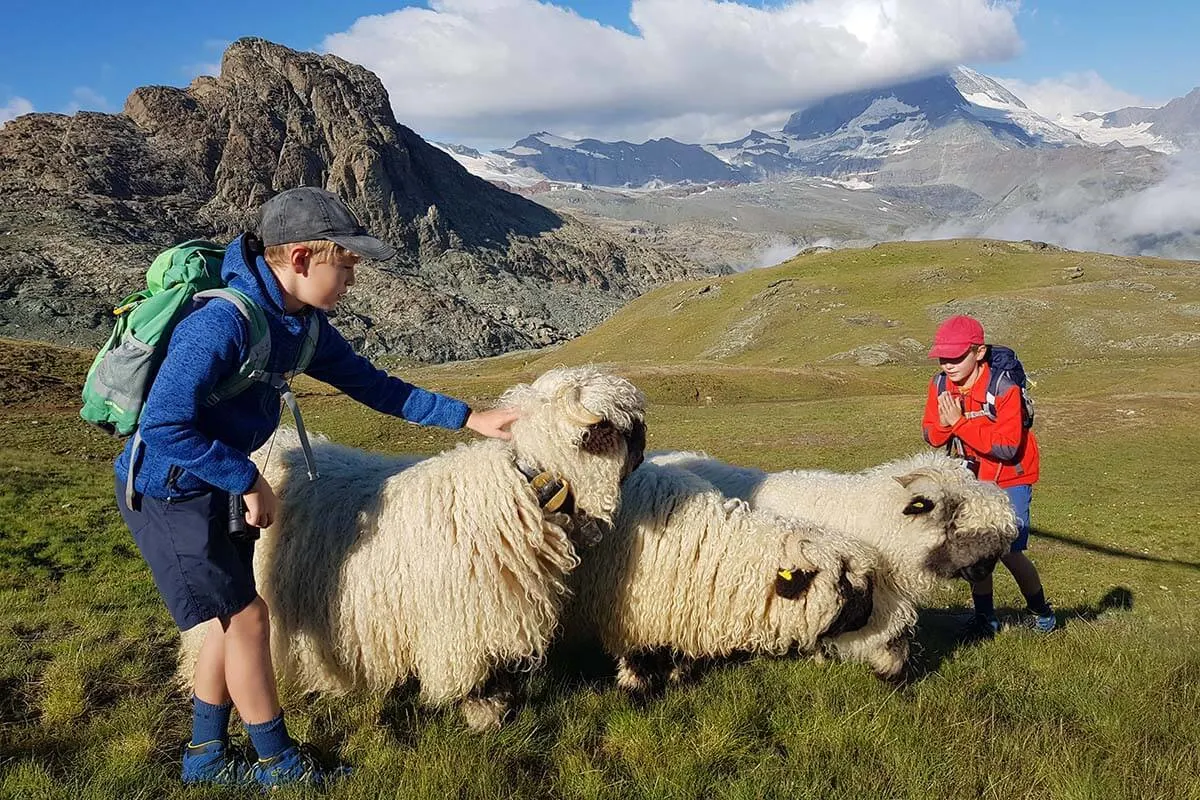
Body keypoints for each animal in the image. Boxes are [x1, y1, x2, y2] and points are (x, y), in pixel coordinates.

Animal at [178, 367, 648, 729]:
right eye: (608, 428)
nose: (644, 439)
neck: (522, 490)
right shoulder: (460, 623)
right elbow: (472, 679)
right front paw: (484, 715)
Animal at [564, 462, 907, 690]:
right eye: (845, 585)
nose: (869, 615)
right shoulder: (630, 615)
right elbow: (636, 661)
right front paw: (636, 688)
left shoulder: (678, 613)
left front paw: (677, 678)